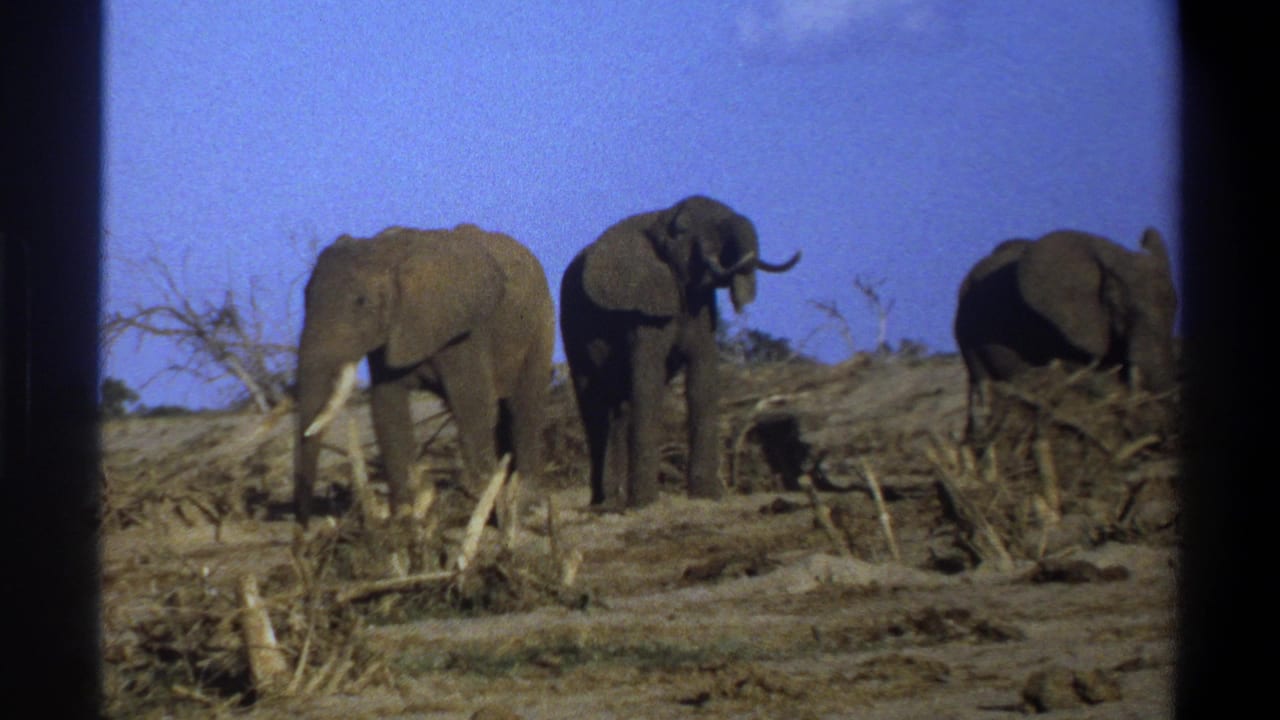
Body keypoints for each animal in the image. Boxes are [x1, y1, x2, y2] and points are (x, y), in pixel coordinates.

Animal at [294, 224, 555, 527]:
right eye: (305, 295)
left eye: (361, 301)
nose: (305, 525)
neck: (387, 253)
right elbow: (387, 408)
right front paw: (405, 516)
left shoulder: (463, 330)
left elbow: (473, 405)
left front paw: (487, 512)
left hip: (541, 323)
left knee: (525, 407)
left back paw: (526, 506)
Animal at [559, 195, 800, 509]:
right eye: (682, 230)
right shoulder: (642, 310)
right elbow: (648, 383)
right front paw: (645, 504)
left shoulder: (702, 309)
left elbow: (703, 382)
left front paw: (707, 496)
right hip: (571, 328)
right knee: (594, 404)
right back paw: (604, 503)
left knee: (618, 406)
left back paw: (613, 500)